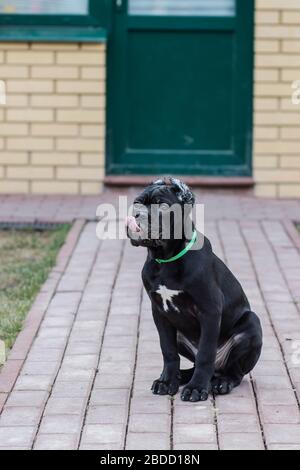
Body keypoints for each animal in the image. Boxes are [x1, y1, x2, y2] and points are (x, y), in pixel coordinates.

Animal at [126, 176, 262, 400]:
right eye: (137, 203)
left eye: (162, 205)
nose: (137, 215)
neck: (165, 258)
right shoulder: (159, 312)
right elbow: (168, 350)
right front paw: (167, 381)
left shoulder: (210, 310)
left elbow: (206, 353)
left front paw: (197, 388)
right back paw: (181, 376)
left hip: (251, 324)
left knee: (233, 371)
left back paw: (220, 382)